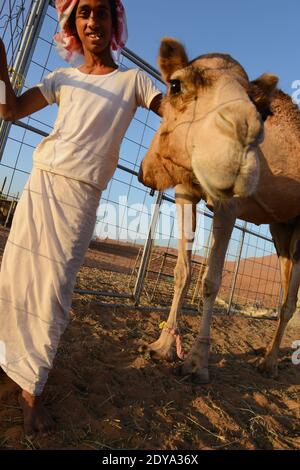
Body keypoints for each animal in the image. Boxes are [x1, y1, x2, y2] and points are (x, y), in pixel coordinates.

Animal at [138, 36, 300, 382]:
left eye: (255, 104)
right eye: (175, 85)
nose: (244, 129)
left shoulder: (229, 205)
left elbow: (211, 280)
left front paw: (197, 363)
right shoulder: (185, 193)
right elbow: (182, 271)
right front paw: (161, 347)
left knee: (290, 298)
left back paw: (269, 363)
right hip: (281, 227)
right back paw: (267, 354)